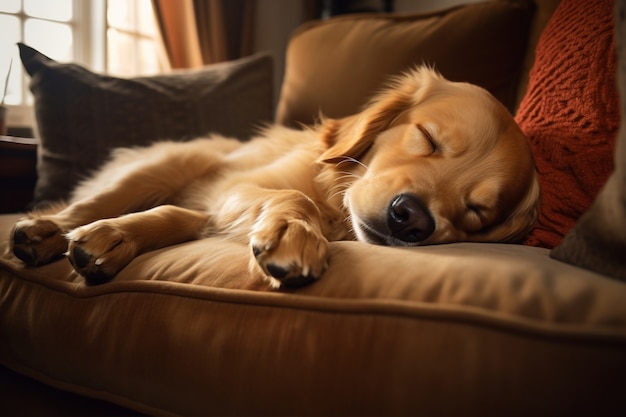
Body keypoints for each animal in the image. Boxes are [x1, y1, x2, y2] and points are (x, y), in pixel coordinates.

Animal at [8, 67, 536, 290]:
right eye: (428, 138)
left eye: (475, 212)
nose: (410, 218)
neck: (335, 205)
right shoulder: (233, 184)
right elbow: (289, 195)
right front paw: (293, 233)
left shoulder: (214, 204)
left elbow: (177, 216)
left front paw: (117, 240)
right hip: (174, 160)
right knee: (83, 206)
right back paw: (45, 230)